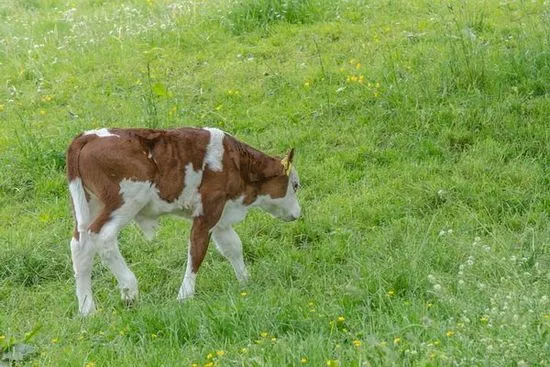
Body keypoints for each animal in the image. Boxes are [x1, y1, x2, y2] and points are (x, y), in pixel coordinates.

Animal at [68, 127, 302, 316]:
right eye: (295, 185)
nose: (298, 214)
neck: (235, 164)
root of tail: (90, 135)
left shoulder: (221, 215)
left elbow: (233, 247)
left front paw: (245, 281)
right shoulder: (207, 212)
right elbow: (197, 252)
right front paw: (185, 296)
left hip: (90, 204)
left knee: (81, 246)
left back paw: (87, 310)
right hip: (126, 200)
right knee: (102, 235)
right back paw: (129, 290)